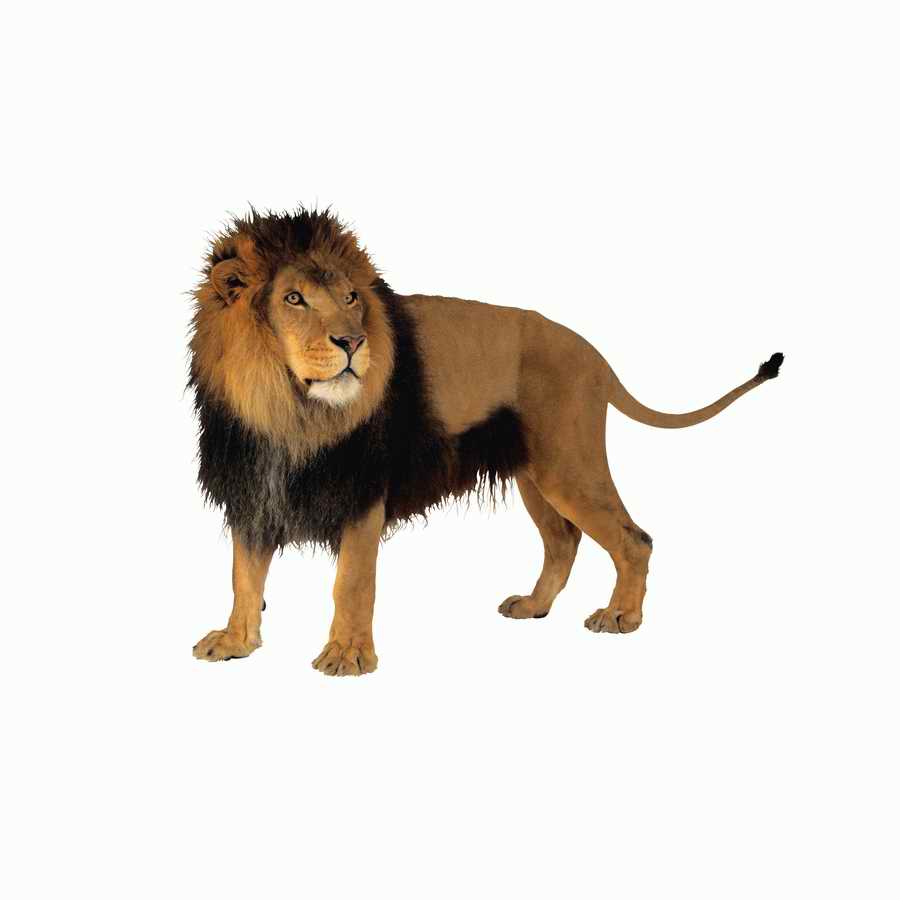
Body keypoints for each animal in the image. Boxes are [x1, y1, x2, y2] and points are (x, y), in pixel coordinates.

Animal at [189, 207, 784, 675]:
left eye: (352, 297)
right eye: (293, 298)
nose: (353, 342)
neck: (285, 408)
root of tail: (594, 356)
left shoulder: (364, 490)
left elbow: (352, 582)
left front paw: (348, 656)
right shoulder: (253, 488)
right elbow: (244, 575)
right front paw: (236, 641)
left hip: (569, 463)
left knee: (633, 539)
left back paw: (621, 616)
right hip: (535, 474)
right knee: (563, 541)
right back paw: (534, 606)